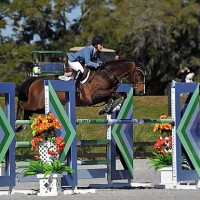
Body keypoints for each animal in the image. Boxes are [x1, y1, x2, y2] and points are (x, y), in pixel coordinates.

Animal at [16, 59, 147, 130]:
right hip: (37, 103)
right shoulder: (93, 96)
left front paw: (109, 108)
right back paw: (18, 123)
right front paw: (108, 108)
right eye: (139, 74)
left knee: (28, 110)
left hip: (41, 107)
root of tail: (35, 80)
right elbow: (115, 94)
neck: (108, 74)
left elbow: (120, 95)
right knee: (22, 104)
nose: (141, 92)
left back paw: (22, 126)